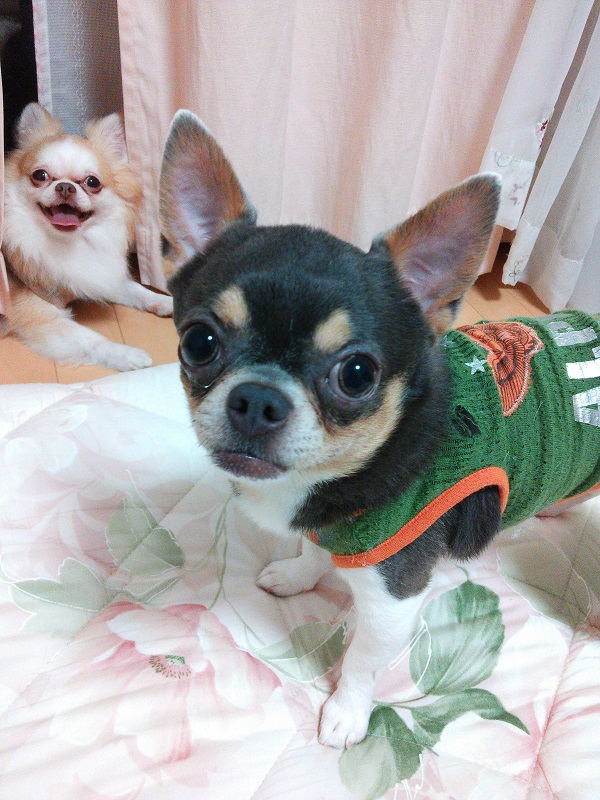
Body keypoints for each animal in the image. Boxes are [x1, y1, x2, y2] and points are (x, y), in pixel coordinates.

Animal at [1, 102, 173, 370]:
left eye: (92, 182)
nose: (65, 186)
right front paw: (127, 355)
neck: (68, 244)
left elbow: (135, 290)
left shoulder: (96, 275)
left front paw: (166, 301)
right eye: (40, 176)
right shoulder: (40, 314)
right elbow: (90, 339)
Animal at [158, 110, 600, 748]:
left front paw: (347, 714)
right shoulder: (331, 528)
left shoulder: (395, 596)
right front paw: (298, 575)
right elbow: (313, 550)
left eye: (357, 374)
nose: (258, 399)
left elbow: (365, 660)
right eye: (198, 342)